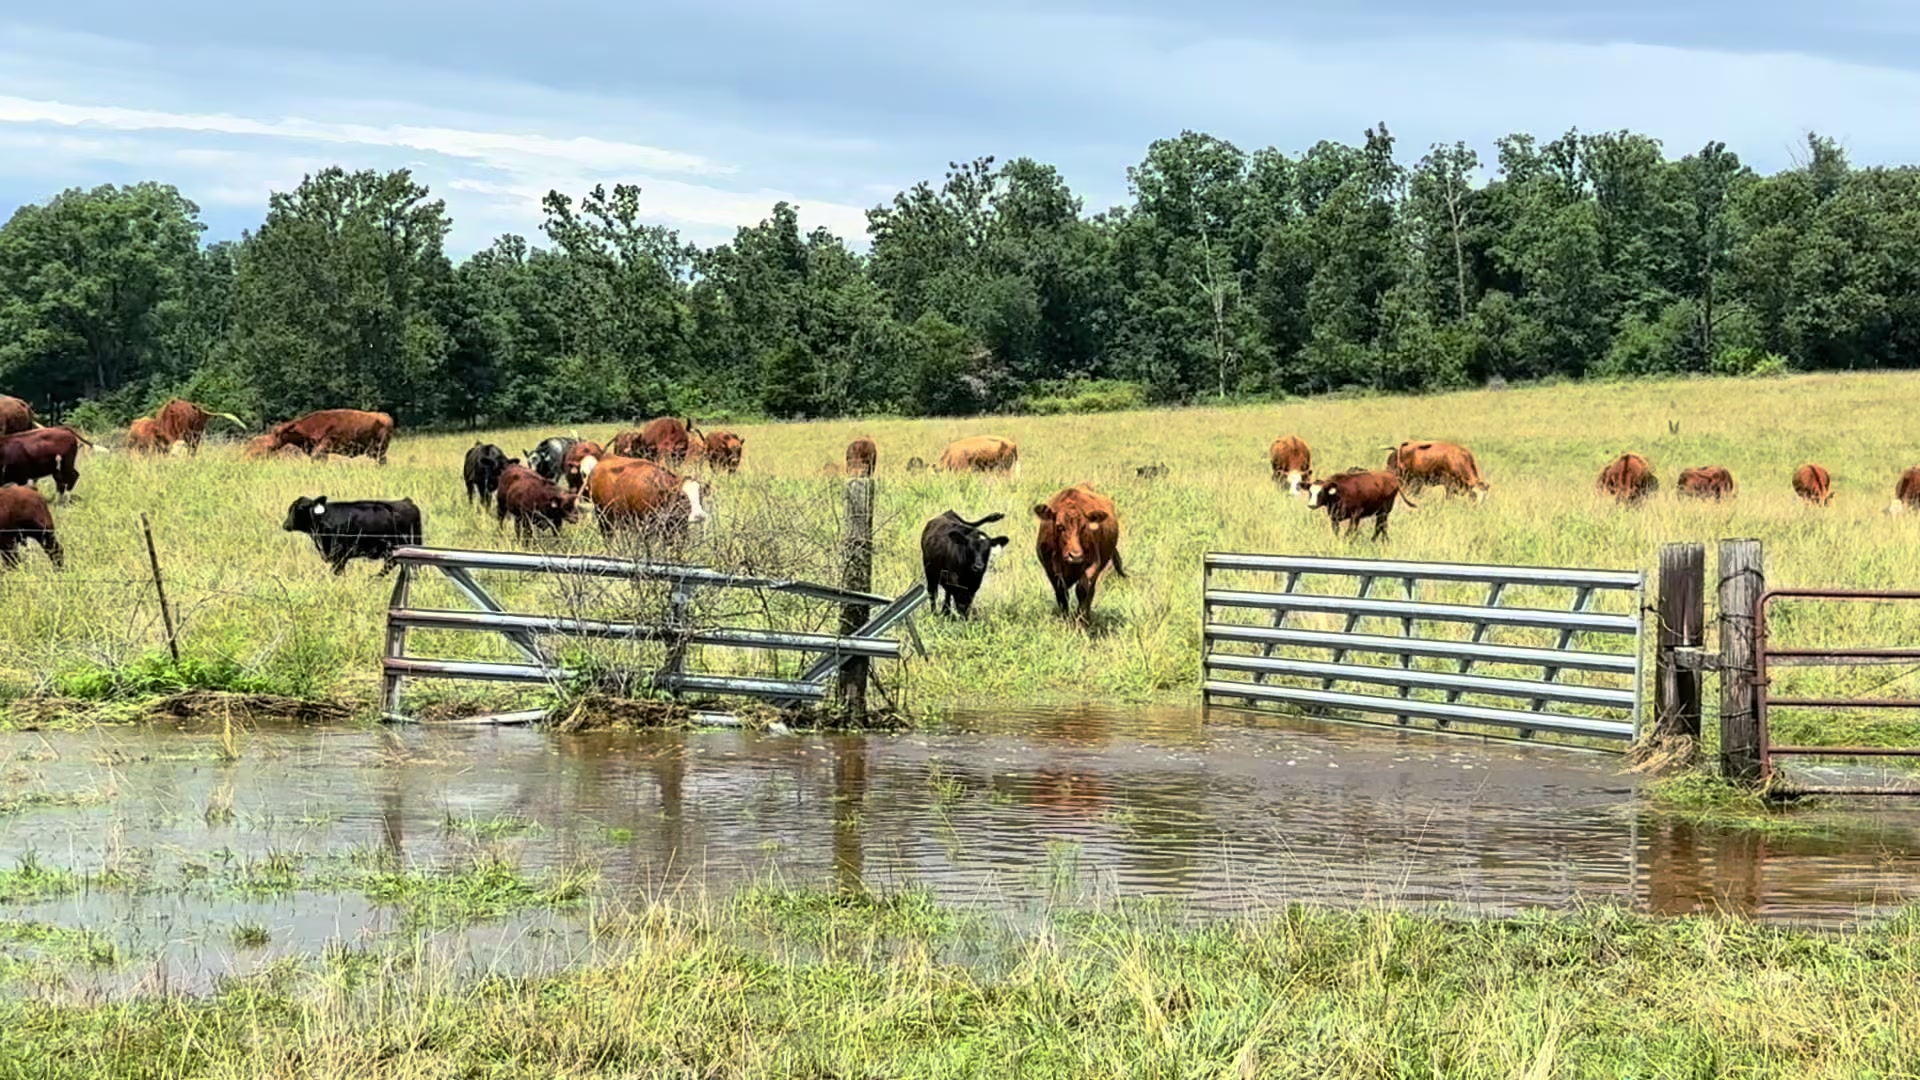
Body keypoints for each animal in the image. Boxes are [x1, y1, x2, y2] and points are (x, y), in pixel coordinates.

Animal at [1033, 485, 1126, 620]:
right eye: (1060, 526)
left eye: (1083, 527)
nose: (1075, 556)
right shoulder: (1050, 569)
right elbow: (1061, 594)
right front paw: (1065, 619)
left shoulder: (1093, 565)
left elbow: (1082, 590)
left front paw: (1080, 620)